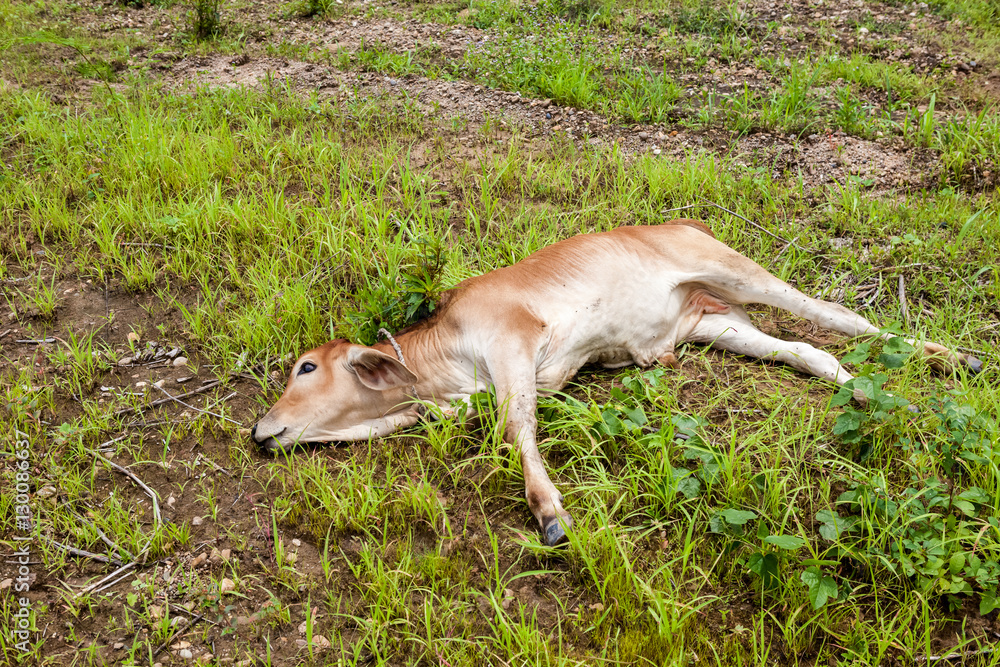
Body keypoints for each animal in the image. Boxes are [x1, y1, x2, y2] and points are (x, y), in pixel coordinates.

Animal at [251, 220, 982, 546]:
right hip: (716, 322)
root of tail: (683, 221)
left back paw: (955, 358)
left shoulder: (514, 342)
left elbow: (517, 428)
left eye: (306, 366)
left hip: (739, 271)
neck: (442, 369)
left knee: (839, 315)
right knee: (810, 352)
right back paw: (865, 392)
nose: (259, 431)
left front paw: (550, 514)